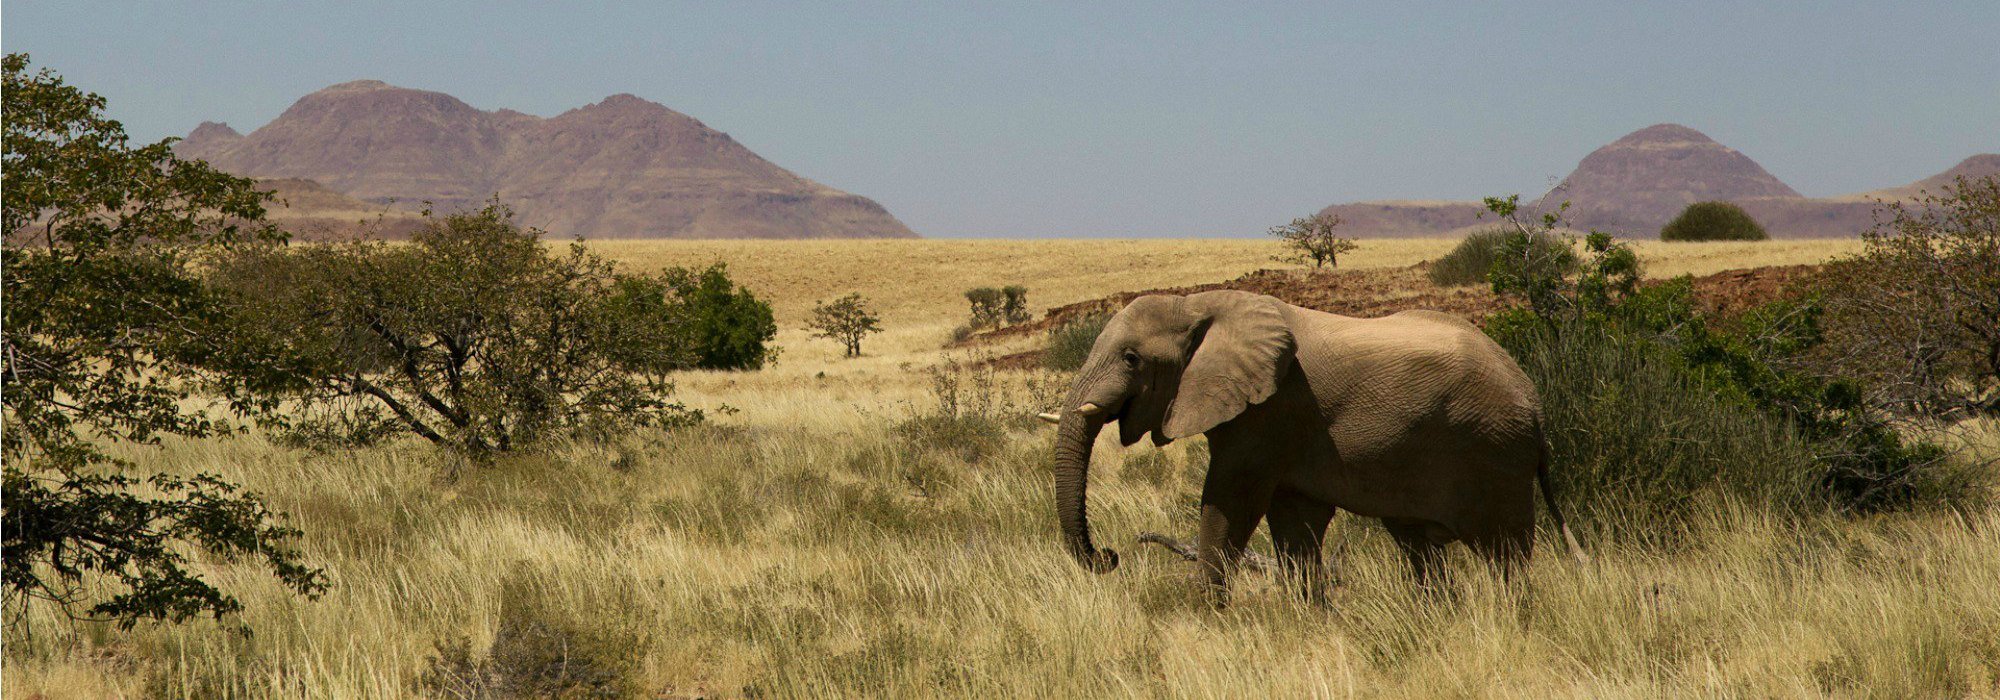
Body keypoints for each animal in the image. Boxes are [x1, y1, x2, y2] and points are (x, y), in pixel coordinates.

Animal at [1040, 290, 1584, 600]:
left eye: (1131, 358)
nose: (1110, 555)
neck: (1201, 303)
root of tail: (1536, 405)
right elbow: (1294, 521)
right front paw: (1308, 616)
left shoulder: (1269, 410)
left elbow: (1230, 500)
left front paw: (1200, 614)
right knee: (1419, 548)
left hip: (1494, 453)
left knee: (1505, 556)